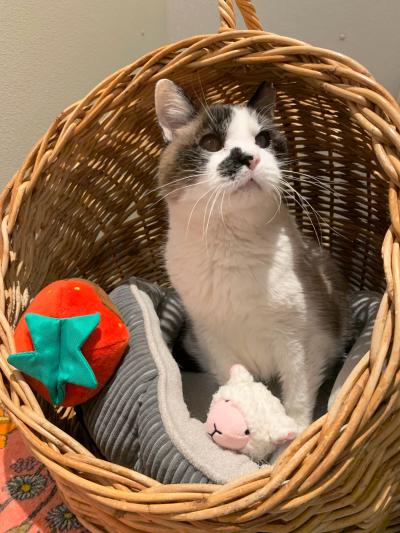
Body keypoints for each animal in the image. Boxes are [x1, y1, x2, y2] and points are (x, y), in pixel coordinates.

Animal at [155, 78, 348, 428]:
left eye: (263, 140)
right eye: (210, 142)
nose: (249, 157)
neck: (232, 245)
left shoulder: (301, 340)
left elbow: (298, 396)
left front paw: (296, 435)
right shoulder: (214, 341)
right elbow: (236, 382)